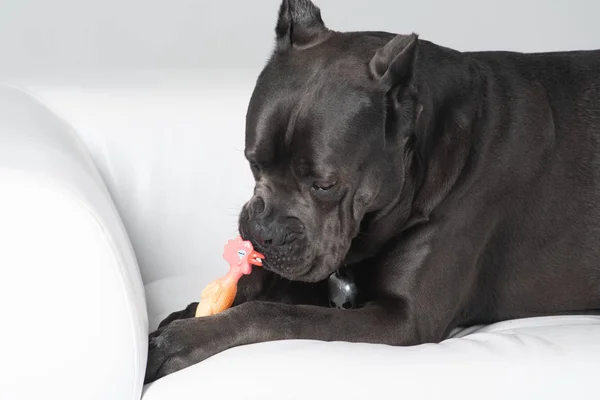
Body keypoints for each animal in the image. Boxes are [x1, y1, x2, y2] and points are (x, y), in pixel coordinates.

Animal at [144, 0, 600, 382]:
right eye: (253, 162)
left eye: (325, 185)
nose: (261, 234)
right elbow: (253, 287)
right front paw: (184, 315)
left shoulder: (403, 318)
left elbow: (276, 315)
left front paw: (179, 342)